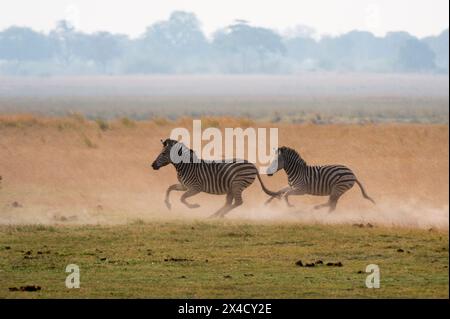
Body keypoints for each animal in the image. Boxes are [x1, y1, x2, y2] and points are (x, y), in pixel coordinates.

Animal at [151, 139, 280, 219]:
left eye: (163, 153)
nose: (152, 165)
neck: (186, 166)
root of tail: (252, 165)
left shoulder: (195, 187)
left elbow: (182, 198)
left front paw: (194, 206)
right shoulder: (184, 186)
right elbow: (170, 188)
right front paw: (167, 204)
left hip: (237, 184)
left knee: (238, 202)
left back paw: (217, 215)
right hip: (232, 187)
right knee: (229, 202)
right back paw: (215, 215)